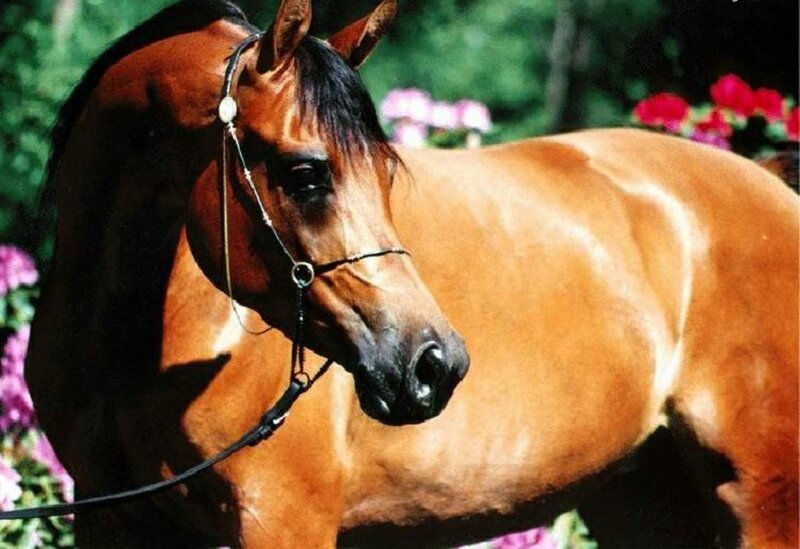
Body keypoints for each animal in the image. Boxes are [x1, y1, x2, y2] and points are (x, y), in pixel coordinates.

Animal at [25, 0, 798, 547]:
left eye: (388, 170)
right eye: (306, 173)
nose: (436, 363)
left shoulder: (281, 519)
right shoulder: (110, 518)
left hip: (762, 501)